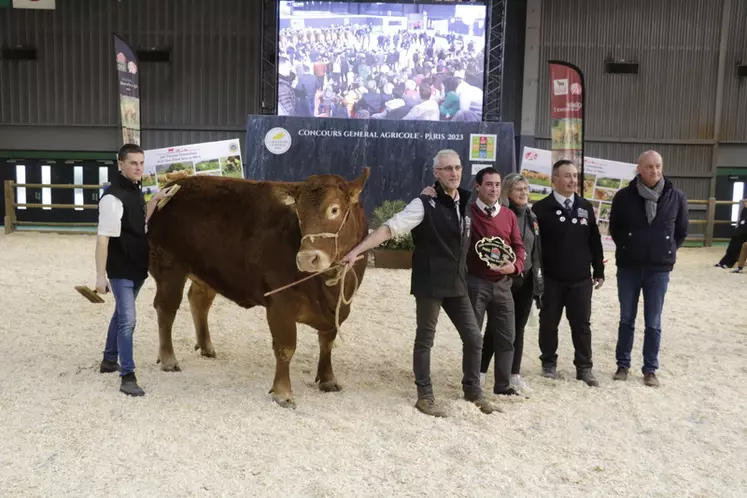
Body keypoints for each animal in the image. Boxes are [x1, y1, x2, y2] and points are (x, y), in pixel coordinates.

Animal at [145, 169, 372, 406]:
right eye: (300, 214)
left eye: (334, 209)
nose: (307, 258)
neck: (330, 287)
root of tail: (172, 187)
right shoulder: (279, 303)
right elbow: (285, 347)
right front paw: (283, 393)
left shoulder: (337, 309)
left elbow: (327, 343)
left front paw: (328, 380)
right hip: (169, 267)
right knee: (166, 309)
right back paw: (168, 358)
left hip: (206, 273)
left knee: (198, 302)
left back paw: (206, 347)